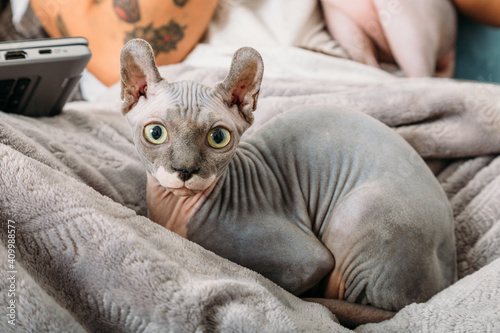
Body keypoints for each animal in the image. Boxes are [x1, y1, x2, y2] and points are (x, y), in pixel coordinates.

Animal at [120, 39, 458, 326]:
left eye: (218, 138)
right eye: (155, 133)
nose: (184, 169)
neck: (174, 210)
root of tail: (446, 277)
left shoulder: (310, 260)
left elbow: (274, 282)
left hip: (357, 212)